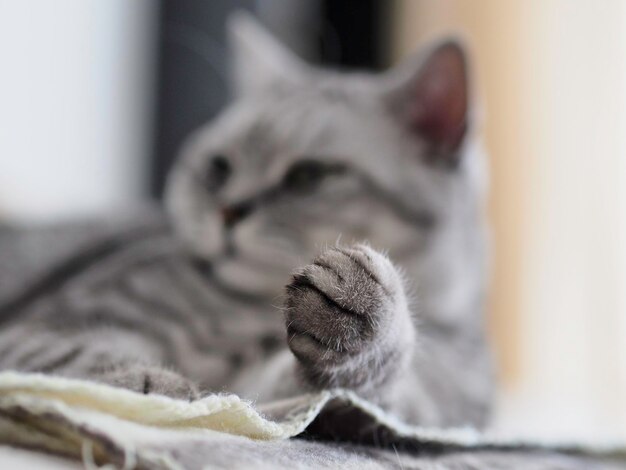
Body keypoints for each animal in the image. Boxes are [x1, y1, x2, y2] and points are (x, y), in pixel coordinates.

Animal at [0, 11, 492, 430]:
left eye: (307, 176)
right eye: (219, 168)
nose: (228, 209)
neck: (246, 315)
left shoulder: (314, 398)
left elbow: (355, 381)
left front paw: (364, 308)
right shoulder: (40, 325)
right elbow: (78, 354)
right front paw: (150, 384)